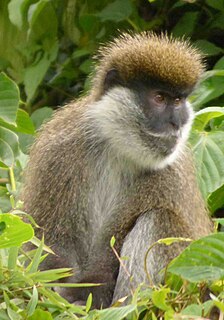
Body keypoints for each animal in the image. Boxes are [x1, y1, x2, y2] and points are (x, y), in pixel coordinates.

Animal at [21, 31, 213, 308]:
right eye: (159, 98)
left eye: (178, 101)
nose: (176, 123)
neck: (118, 147)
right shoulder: (59, 148)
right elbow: (47, 241)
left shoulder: (170, 172)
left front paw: (81, 296)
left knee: (159, 219)